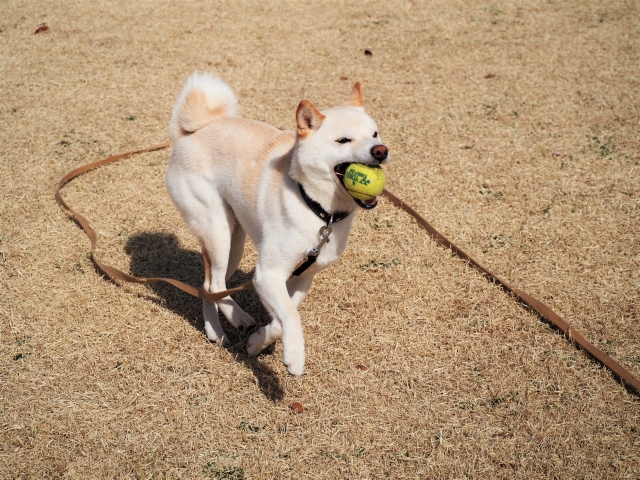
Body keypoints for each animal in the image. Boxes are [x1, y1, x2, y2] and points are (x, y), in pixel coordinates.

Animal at [168, 73, 388, 376]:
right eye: (344, 140)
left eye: (374, 134)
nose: (381, 151)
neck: (320, 212)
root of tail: (191, 131)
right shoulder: (267, 274)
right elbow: (291, 316)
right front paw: (295, 358)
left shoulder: (303, 275)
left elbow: (283, 316)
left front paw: (257, 343)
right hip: (217, 230)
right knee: (214, 284)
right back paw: (233, 319)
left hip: (235, 242)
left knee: (209, 283)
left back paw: (219, 329)